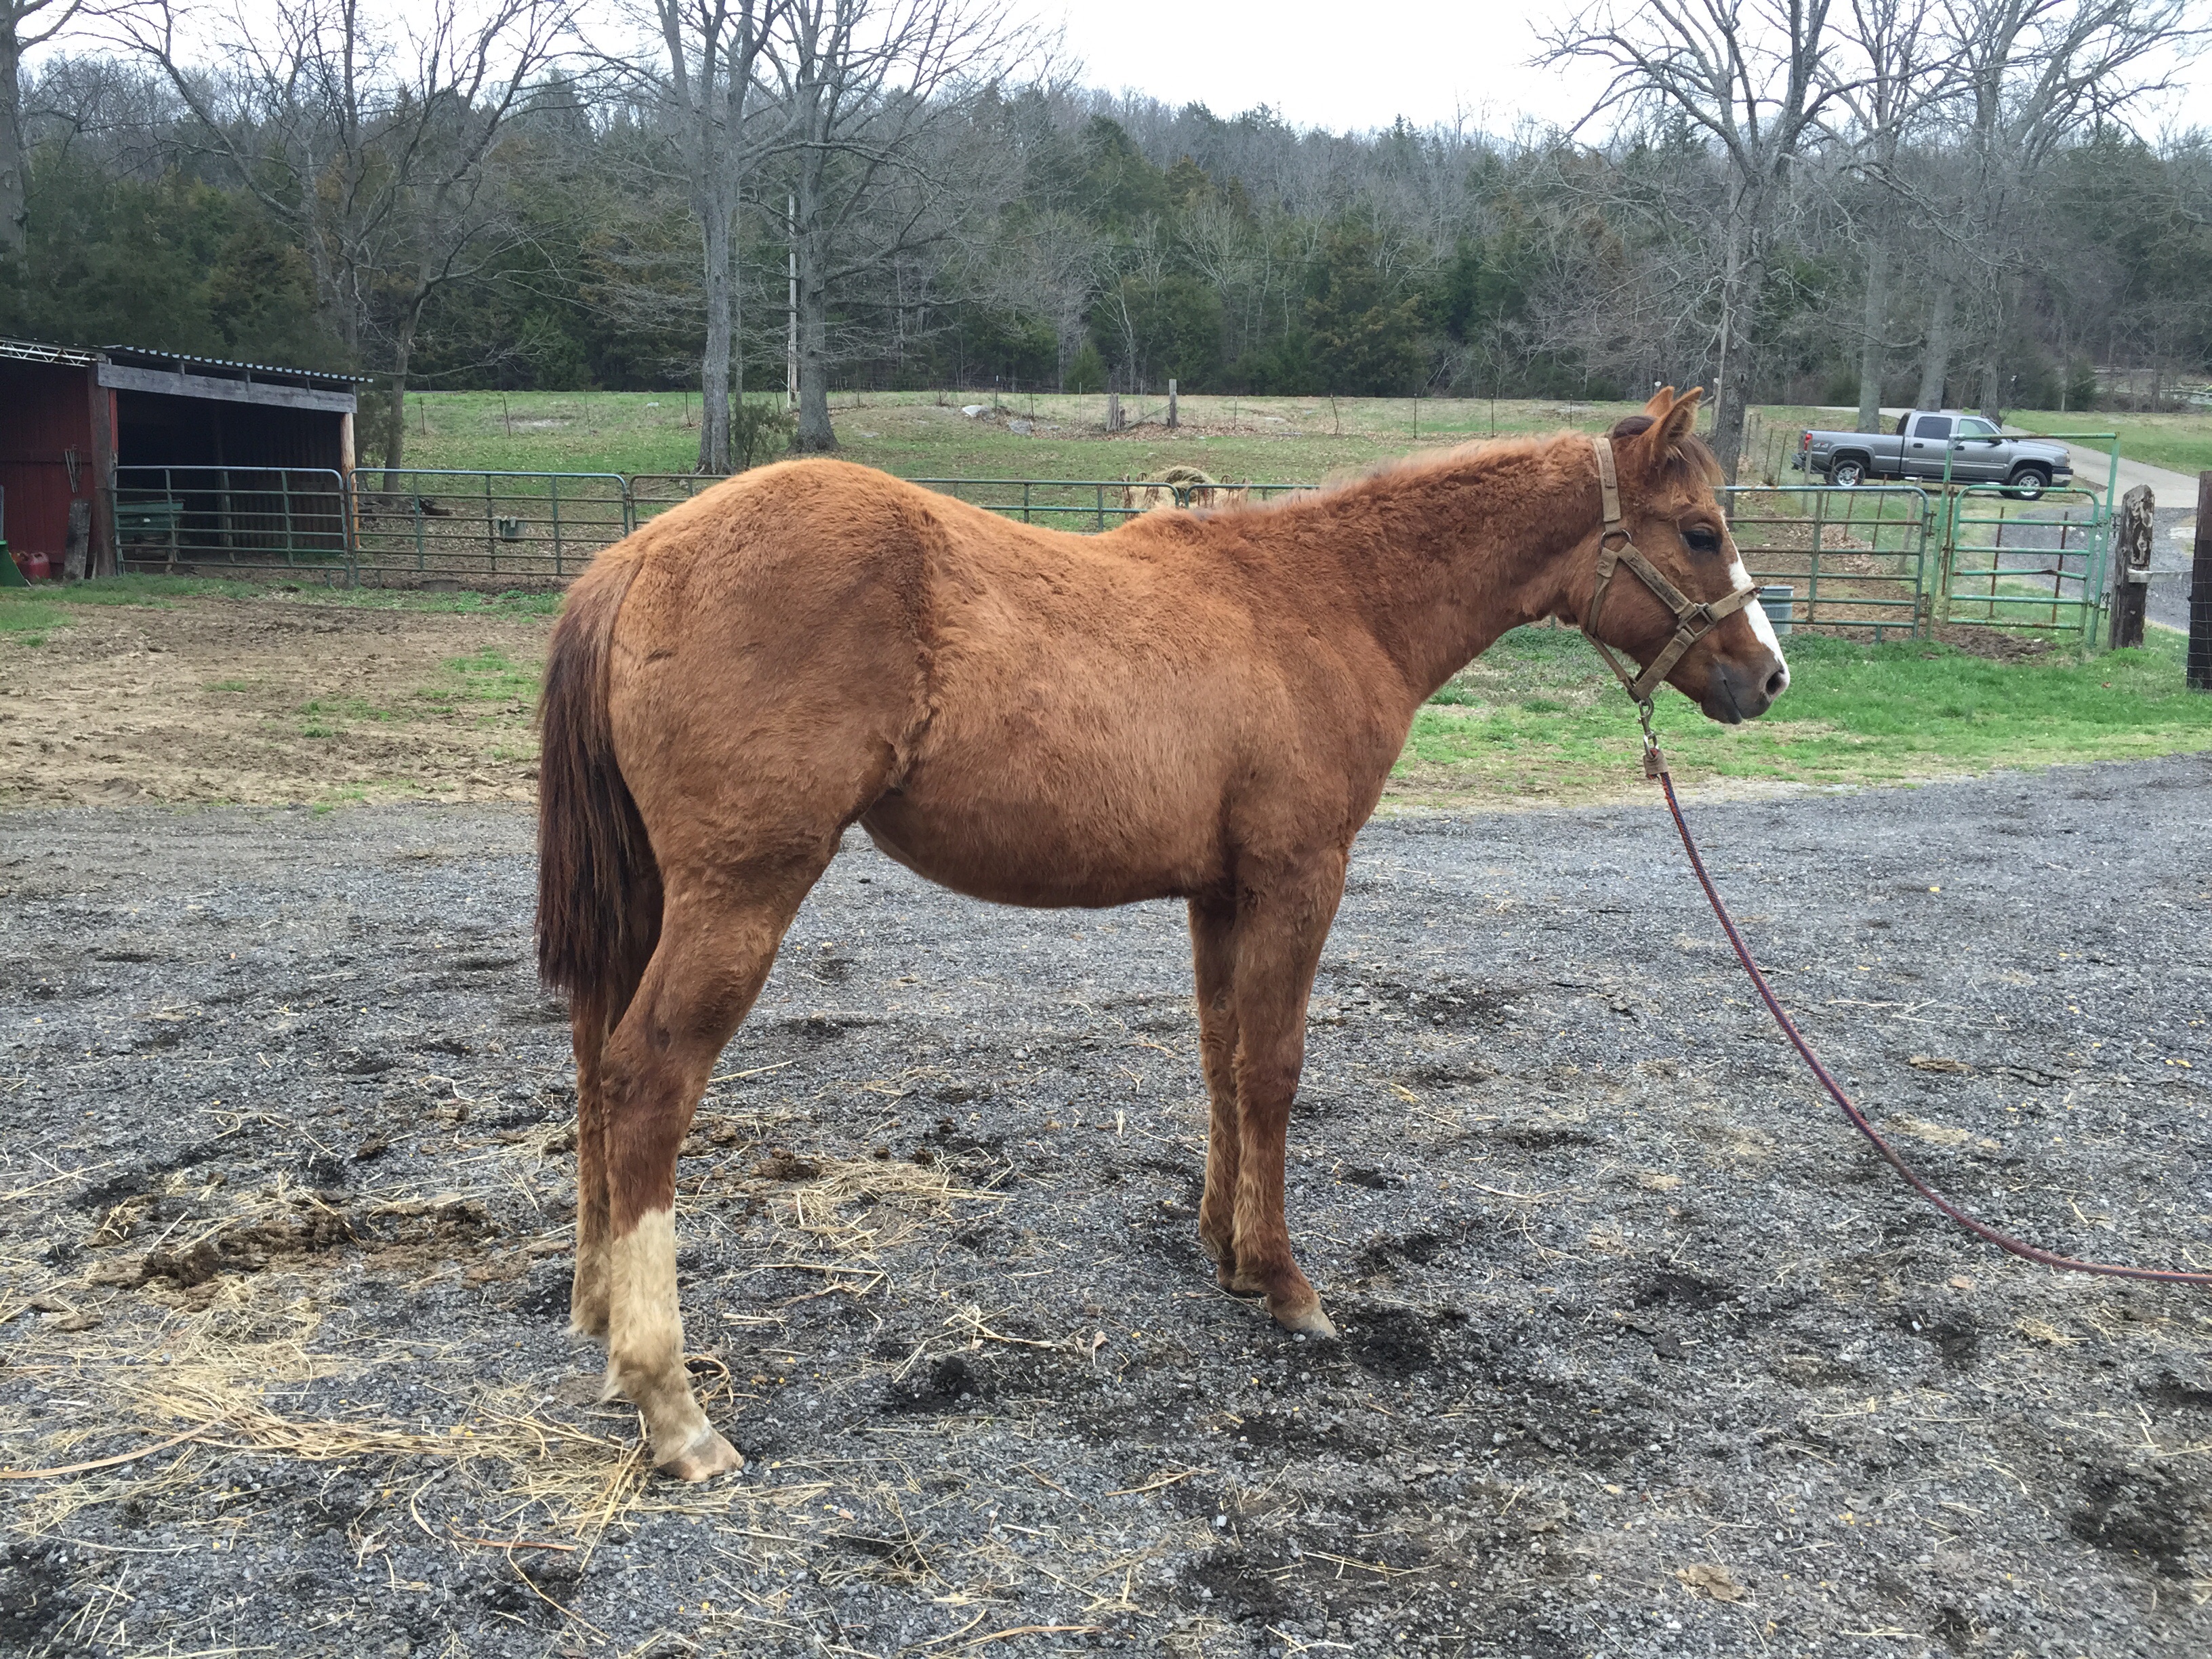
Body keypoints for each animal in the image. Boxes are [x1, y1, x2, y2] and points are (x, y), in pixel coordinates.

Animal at [535, 386, 1787, 1479]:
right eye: (1698, 530)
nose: (1767, 677)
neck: (1323, 602)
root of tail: (634, 560)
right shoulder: (1297, 878)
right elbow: (1274, 1069)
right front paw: (1285, 1283)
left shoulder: (1219, 893)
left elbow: (1222, 1060)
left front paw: (1226, 1252)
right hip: (738, 892)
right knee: (646, 1078)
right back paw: (673, 1408)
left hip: (649, 896)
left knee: (595, 1056)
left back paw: (598, 1314)